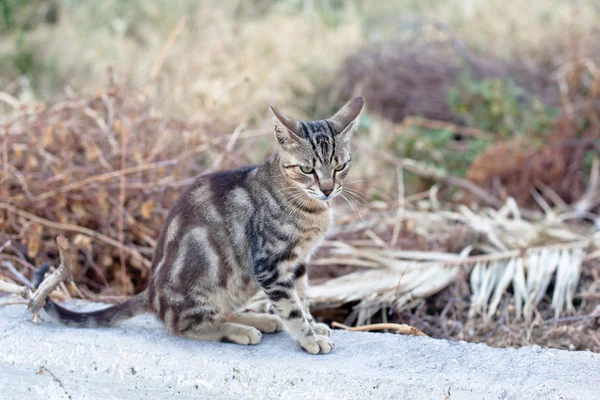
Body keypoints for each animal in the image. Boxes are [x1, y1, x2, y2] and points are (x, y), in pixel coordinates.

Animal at [36, 98, 366, 354]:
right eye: (307, 169)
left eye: (340, 166)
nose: (327, 189)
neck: (309, 208)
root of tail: (151, 294)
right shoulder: (271, 264)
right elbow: (291, 306)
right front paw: (308, 337)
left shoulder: (297, 263)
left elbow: (303, 299)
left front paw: (313, 325)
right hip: (206, 284)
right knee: (183, 324)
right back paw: (239, 330)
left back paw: (258, 320)